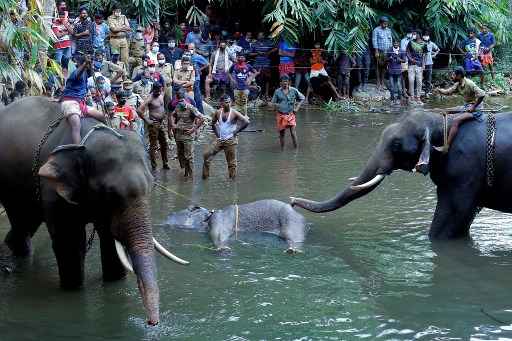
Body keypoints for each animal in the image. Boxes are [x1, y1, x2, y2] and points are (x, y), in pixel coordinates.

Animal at [0, 95, 188, 324]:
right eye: (110, 193)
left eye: (152, 186)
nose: (152, 323)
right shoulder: (52, 188)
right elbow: (70, 242)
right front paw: (73, 289)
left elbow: (109, 239)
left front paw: (114, 283)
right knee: (21, 219)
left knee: (27, 222)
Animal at [166, 198, 306, 251]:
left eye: (188, 209)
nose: (167, 216)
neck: (206, 218)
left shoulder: (220, 219)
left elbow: (219, 234)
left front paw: (223, 248)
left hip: (291, 222)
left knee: (294, 238)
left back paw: (292, 249)